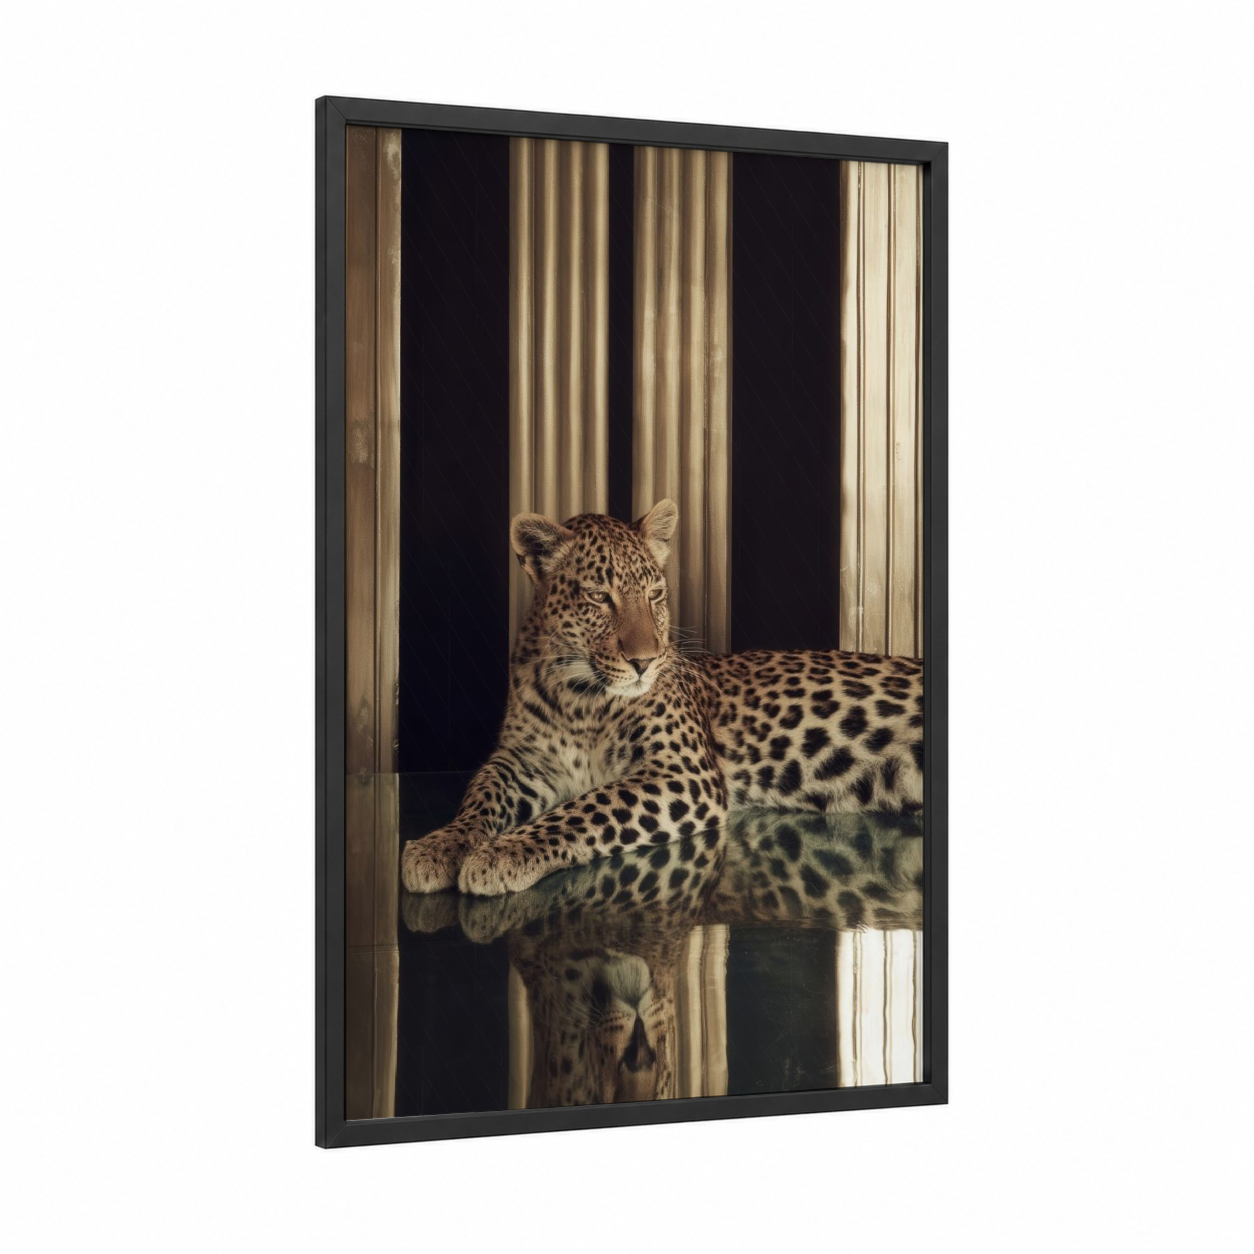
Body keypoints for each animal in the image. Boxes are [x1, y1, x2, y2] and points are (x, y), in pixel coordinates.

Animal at [400, 499, 924, 899]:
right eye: (598, 597)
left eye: (654, 594)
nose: (645, 661)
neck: (580, 697)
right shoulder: (520, 761)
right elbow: (479, 797)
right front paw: (440, 845)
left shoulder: (683, 771)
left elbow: (587, 807)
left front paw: (502, 852)